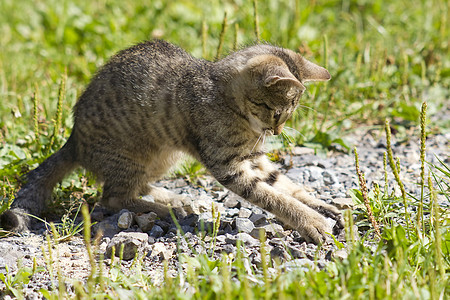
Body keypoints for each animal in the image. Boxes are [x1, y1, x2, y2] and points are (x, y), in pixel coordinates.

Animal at [0, 39, 342, 244]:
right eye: (277, 112)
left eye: (288, 114)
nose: (277, 132)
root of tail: (73, 140)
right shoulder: (229, 166)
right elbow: (273, 197)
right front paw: (311, 221)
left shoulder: (253, 158)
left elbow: (285, 185)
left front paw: (321, 204)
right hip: (133, 156)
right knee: (113, 199)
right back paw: (166, 210)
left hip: (163, 156)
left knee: (133, 188)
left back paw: (173, 198)